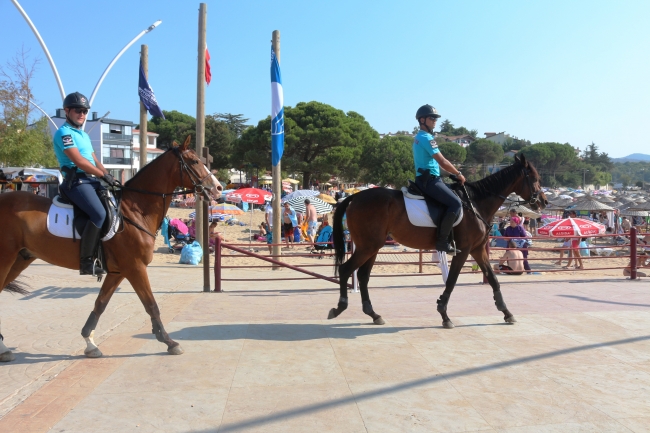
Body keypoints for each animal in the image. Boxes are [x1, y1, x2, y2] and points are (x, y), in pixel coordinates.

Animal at [0, 137, 221, 360]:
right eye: (194, 161)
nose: (218, 188)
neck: (134, 210)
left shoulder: (118, 272)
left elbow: (100, 304)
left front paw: (90, 343)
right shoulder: (135, 268)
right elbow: (151, 305)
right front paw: (169, 342)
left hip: (20, 260)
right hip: (6, 260)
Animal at [326, 155, 544, 328]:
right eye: (534, 178)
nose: (543, 201)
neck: (475, 203)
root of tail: (355, 197)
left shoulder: (478, 250)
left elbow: (492, 279)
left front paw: (506, 312)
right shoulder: (464, 250)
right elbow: (452, 280)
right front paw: (444, 313)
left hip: (373, 247)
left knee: (363, 276)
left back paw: (373, 314)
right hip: (368, 246)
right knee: (346, 270)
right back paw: (340, 307)